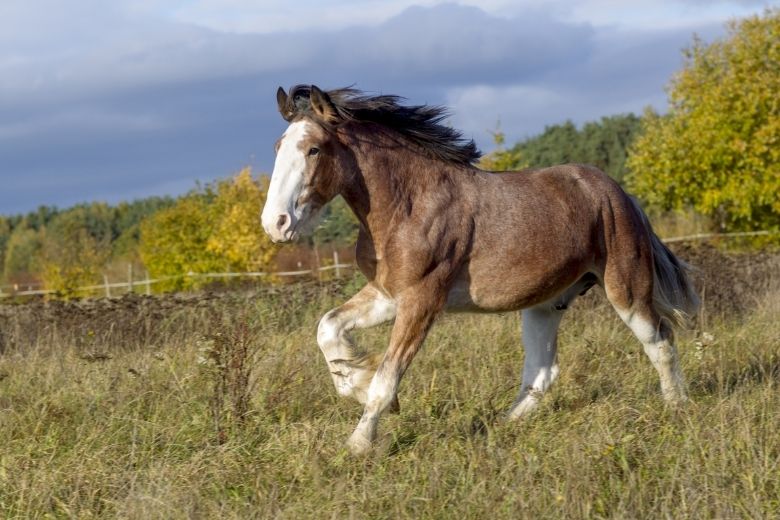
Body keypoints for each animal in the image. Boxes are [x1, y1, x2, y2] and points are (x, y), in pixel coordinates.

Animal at [258, 85, 696, 456]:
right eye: (278, 147)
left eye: (314, 150)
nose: (275, 223)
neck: (408, 206)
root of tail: (620, 194)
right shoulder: (387, 295)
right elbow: (328, 327)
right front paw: (353, 382)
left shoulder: (421, 301)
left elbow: (387, 377)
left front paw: (359, 443)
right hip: (544, 304)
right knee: (543, 371)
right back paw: (502, 427)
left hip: (626, 289)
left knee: (659, 341)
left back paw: (678, 408)